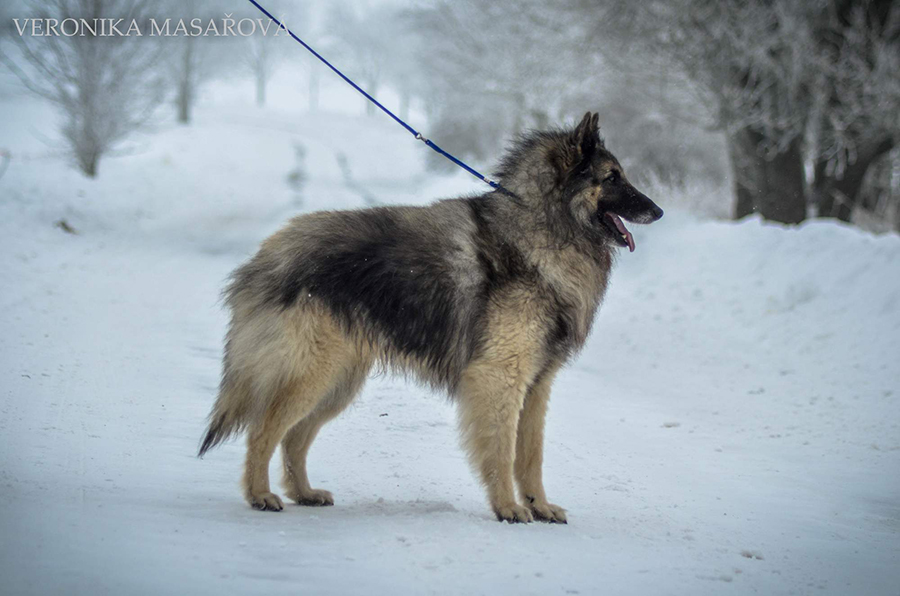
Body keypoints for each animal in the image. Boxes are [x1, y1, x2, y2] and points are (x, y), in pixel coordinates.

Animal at [200, 112, 664, 520]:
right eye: (612, 177)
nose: (658, 211)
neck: (542, 226)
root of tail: (271, 253)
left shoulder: (536, 385)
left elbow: (530, 456)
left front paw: (539, 506)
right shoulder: (500, 377)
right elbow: (501, 450)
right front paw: (508, 507)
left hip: (337, 382)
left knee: (294, 438)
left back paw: (304, 493)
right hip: (313, 373)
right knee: (263, 431)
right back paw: (260, 495)